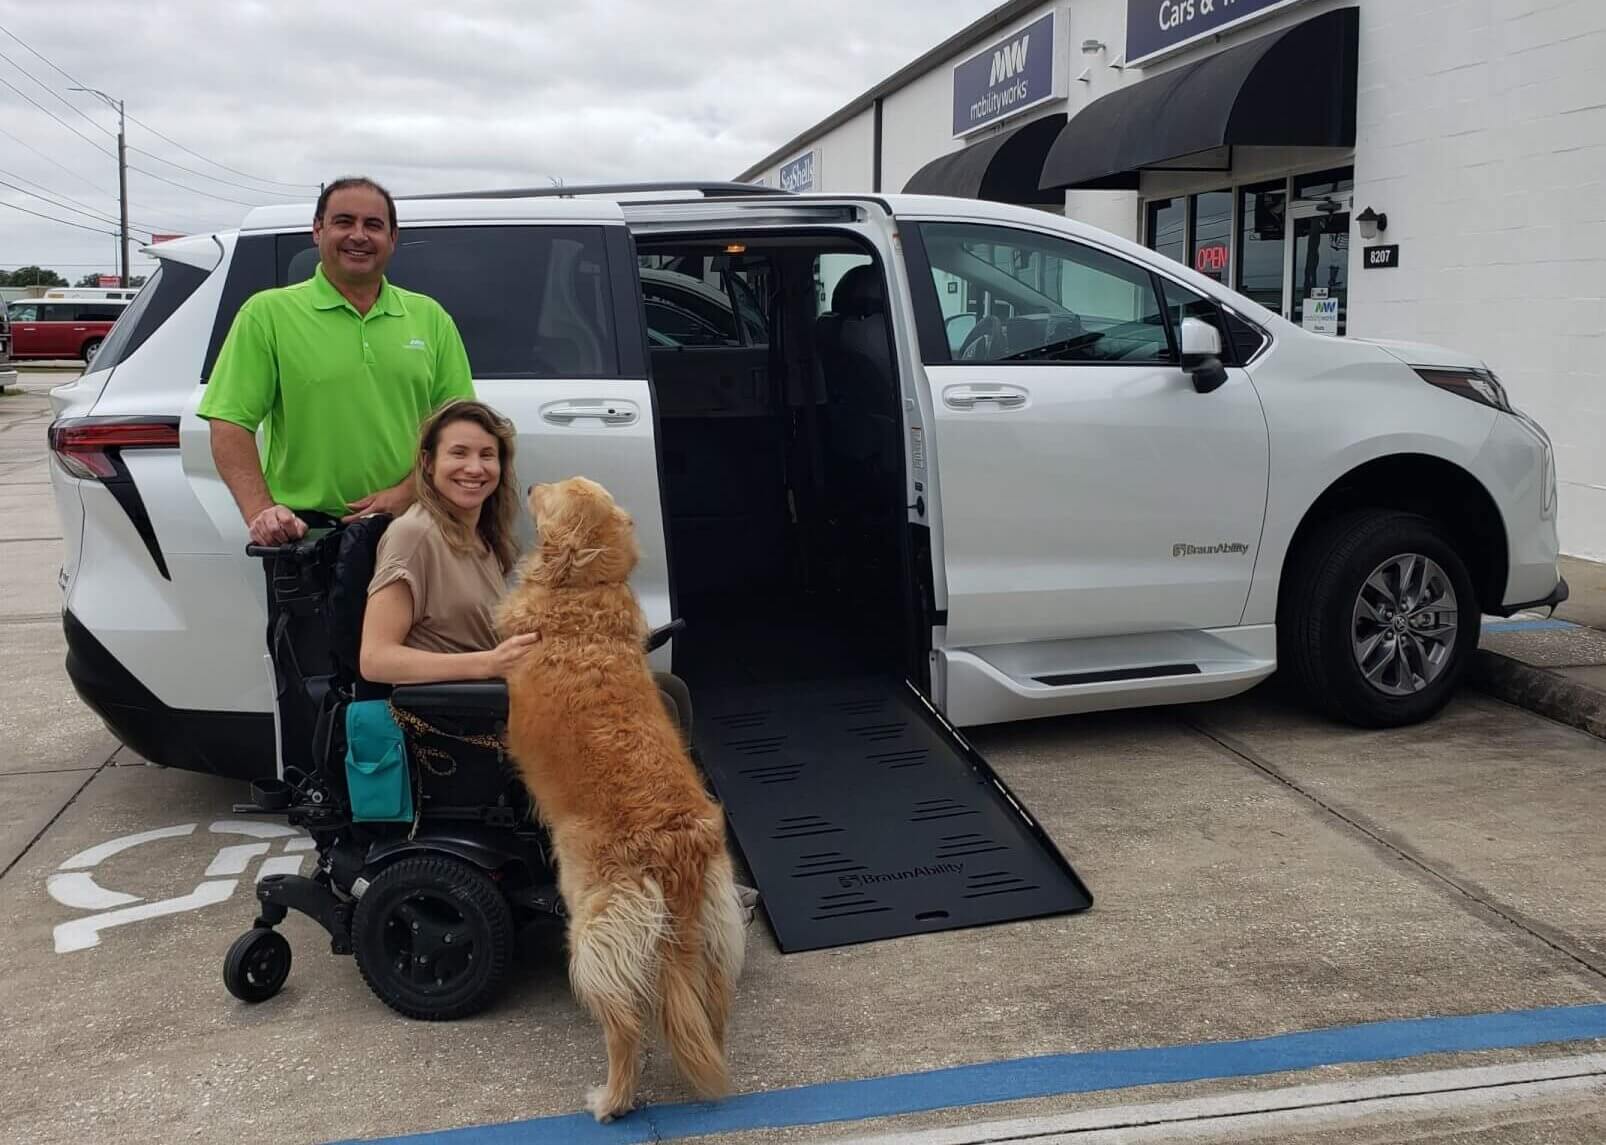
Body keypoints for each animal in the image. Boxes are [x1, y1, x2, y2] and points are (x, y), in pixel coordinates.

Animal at [494, 478, 745, 1124]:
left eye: (552, 495)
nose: (530, 483)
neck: (584, 590)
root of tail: (678, 847)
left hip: (595, 928)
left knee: (626, 1024)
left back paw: (613, 1098)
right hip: (714, 925)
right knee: (711, 1006)